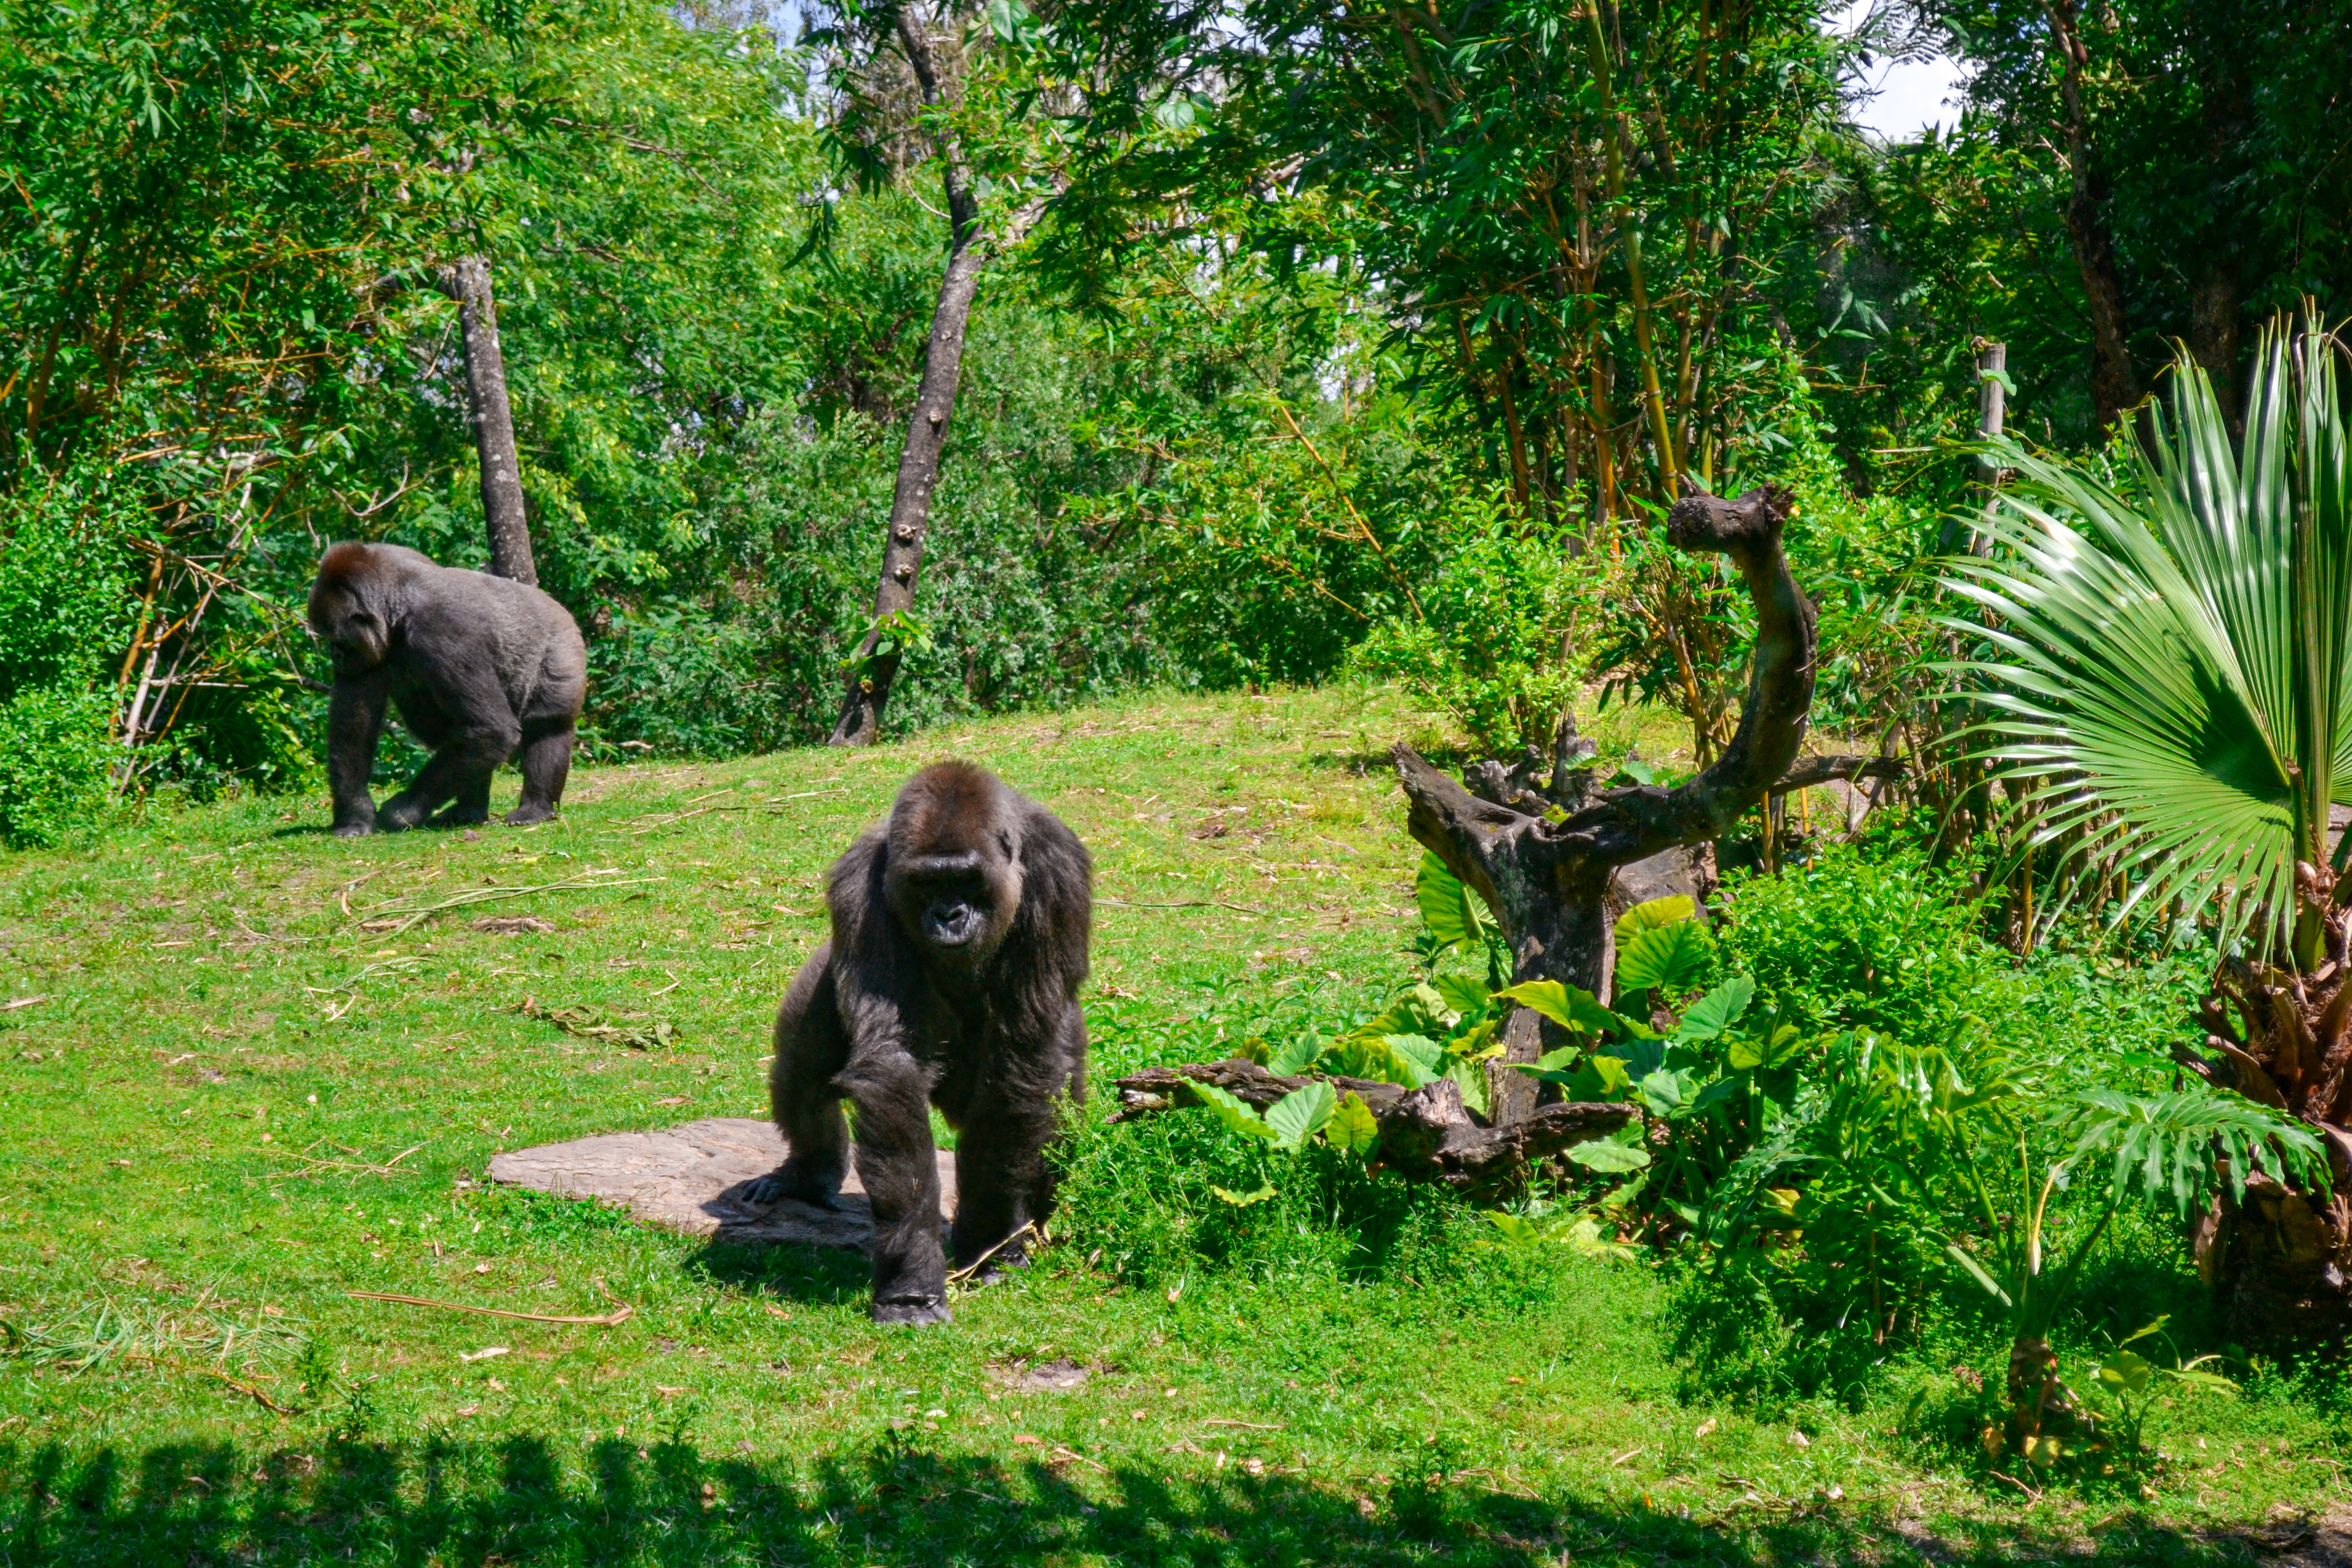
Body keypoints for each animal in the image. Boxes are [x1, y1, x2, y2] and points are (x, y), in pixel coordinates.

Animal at [305, 543, 585, 842]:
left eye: (338, 640)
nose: (335, 656)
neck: (396, 601)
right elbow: (353, 729)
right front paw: (354, 814)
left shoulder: (443, 630)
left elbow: (492, 729)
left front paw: (405, 809)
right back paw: (469, 812)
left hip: (561, 643)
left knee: (546, 726)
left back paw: (535, 808)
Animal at [743, 761, 1091, 1326]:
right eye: (928, 883)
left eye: (965, 880)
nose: (948, 916)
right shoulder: (860, 882)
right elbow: (890, 1063)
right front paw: (912, 1281)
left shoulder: (1058, 869)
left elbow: (1025, 1056)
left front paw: (987, 1240)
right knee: (801, 1072)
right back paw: (809, 1174)